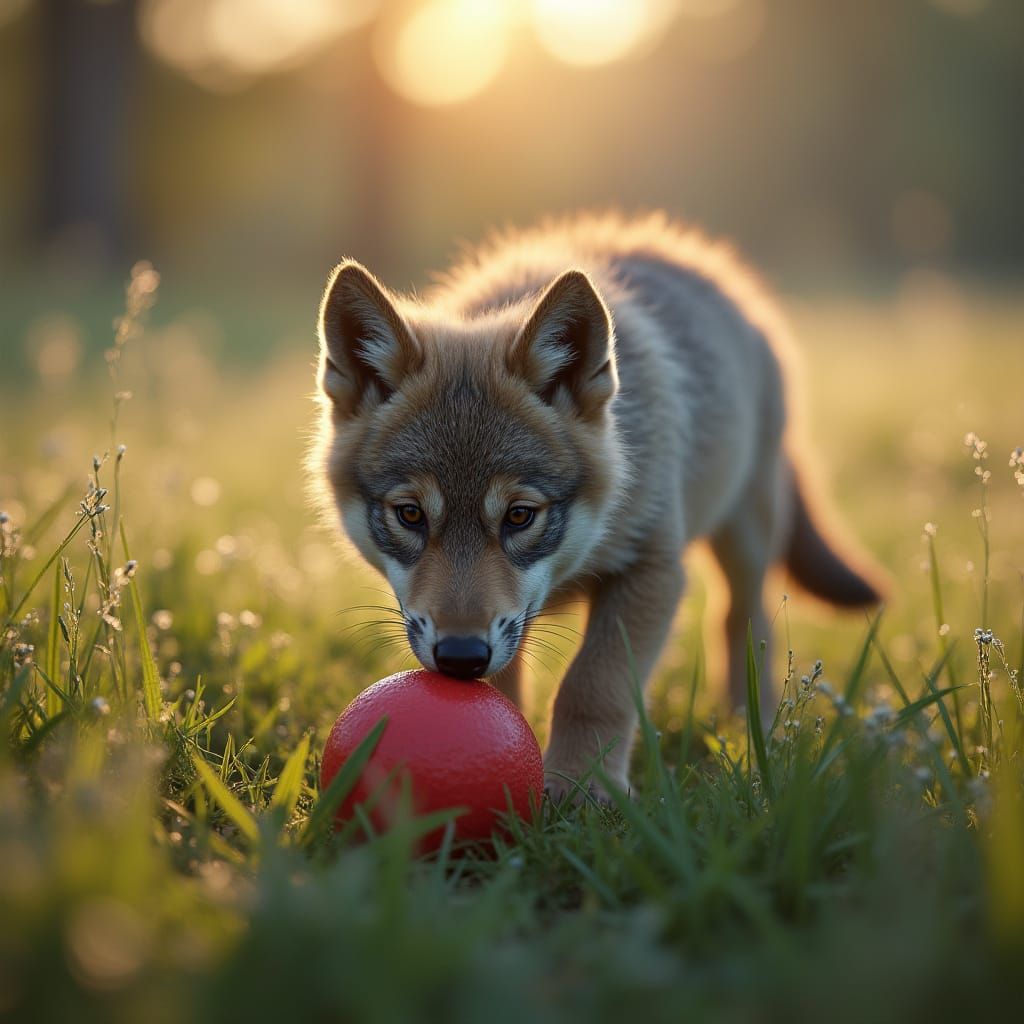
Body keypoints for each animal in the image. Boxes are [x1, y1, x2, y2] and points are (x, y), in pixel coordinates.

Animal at [311, 213, 882, 800]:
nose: (461, 657)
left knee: (742, 619)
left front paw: (581, 786)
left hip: (746, 532)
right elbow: (507, 693)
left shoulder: (651, 572)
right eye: (410, 515)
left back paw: (755, 725)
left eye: (520, 515)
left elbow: (591, 687)